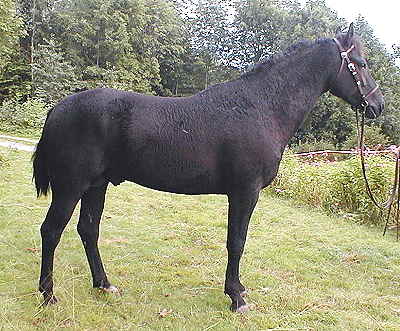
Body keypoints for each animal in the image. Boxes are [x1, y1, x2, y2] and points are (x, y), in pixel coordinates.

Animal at [32, 24, 384, 312]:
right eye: (361, 64)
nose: (377, 105)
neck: (261, 107)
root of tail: (57, 108)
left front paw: (237, 290)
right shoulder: (245, 192)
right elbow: (236, 242)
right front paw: (236, 297)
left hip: (97, 185)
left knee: (88, 230)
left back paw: (104, 284)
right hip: (71, 187)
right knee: (51, 231)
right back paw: (48, 295)